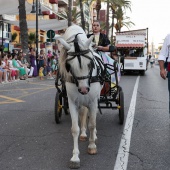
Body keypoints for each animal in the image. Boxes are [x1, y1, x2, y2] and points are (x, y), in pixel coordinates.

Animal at [55, 25, 103, 169]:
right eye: (69, 66)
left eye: (90, 63)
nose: (83, 89)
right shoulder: (72, 102)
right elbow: (75, 128)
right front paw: (75, 157)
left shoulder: (92, 101)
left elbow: (92, 124)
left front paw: (92, 146)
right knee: (83, 112)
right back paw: (83, 133)